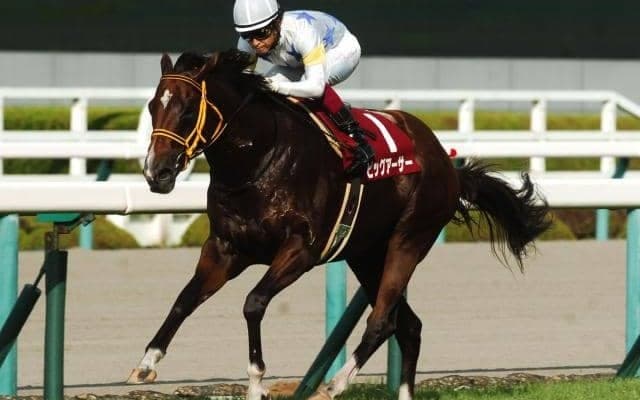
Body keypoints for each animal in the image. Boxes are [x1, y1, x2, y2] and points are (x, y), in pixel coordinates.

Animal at [130, 49, 551, 400]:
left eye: (187, 110)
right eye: (152, 107)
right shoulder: (225, 248)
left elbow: (253, 303)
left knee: (382, 321)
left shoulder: (300, 250)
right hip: (367, 255)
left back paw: (333, 385)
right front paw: (146, 363)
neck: (258, 160)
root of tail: (447, 164)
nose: (157, 172)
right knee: (409, 326)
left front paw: (256, 384)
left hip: (409, 239)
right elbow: (185, 299)